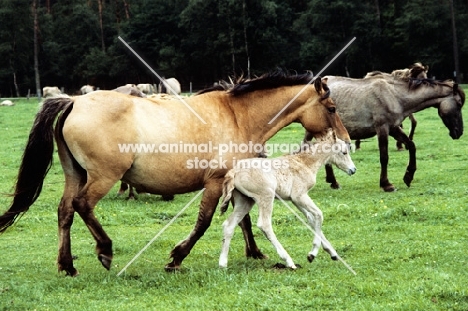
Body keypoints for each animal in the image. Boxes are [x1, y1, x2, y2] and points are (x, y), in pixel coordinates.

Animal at [218, 132, 356, 270]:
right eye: (344, 152)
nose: (353, 170)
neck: (305, 163)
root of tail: (234, 171)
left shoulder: (295, 200)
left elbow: (311, 219)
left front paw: (332, 253)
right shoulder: (299, 196)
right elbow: (318, 215)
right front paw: (312, 254)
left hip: (245, 201)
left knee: (229, 225)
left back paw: (223, 263)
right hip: (266, 196)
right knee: (264, 225)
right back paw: (289, 261)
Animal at [308, 75, 464, 193]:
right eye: (459, 104)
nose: (459, 132)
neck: (394, 96)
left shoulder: (394, 128)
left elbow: (411, 145)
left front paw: (408, 176)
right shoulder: (382, 129)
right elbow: (384, 157)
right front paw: (386, 184)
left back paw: (333, 182)